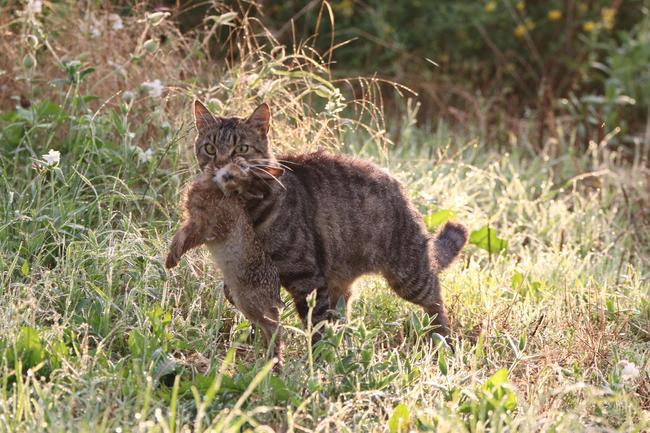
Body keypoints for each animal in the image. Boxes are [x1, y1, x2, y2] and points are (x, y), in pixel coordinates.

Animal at [163, 165, 282, 364]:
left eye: (243, 183)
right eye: (241, 166)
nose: (229, 176)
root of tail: (275, 296)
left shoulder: (206, 226)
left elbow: (187, 237)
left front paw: (172, 260)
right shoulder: (195, 221)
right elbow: (180, 236)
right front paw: (170, 261)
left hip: (247, 301)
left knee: (273, 327)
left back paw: (273, 360)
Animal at [192, 99, 466, 340]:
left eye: (241, 149)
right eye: (210, 148)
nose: (221, 164)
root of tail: (403, 190)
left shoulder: (307, 276)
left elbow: (316, 322)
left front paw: (317, 357)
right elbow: (236, 295)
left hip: (408, 274)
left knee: (435, 296)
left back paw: (443, 340)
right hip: (342, 274)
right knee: (344, 307)